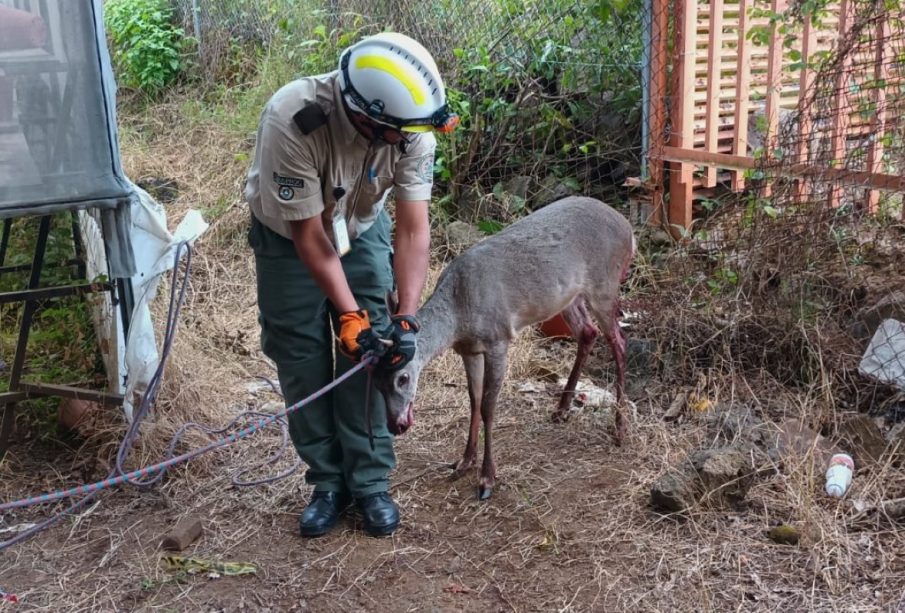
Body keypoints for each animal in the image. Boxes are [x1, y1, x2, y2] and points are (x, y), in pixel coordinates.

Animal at [374, 195, 636, 498]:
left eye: (403, 378)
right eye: (375, 380)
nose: (396, 424)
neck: (459, 316)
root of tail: (628, 230)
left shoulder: (497, 338)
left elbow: (488, 405)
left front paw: (487, 478)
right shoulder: (469, 349)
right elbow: (473, 400)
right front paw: (464, 461)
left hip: (604, 284)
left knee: (619, 341)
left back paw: (619, 429)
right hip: (568, 296)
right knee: (587, 332)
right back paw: (561, 408)